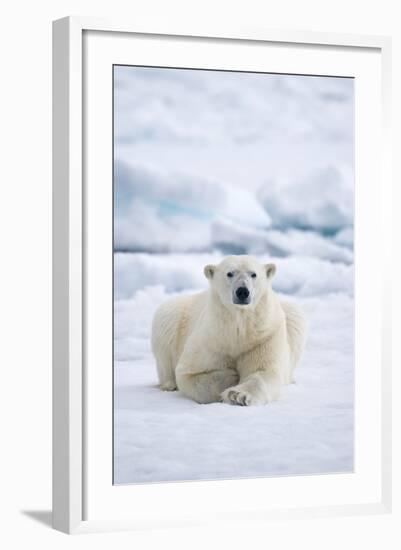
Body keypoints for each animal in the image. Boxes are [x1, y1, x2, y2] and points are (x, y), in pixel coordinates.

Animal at [152, 256, 304, 408]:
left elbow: (263, 371)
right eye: (230, 273)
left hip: (290, 315)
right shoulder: (211, 338)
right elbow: (189, 373)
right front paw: (231, 376)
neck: (237, 328)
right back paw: (169, 385)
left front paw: (237, 396)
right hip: (173, 313)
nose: (242, 291)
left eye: (253, 274)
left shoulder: (264, 337)